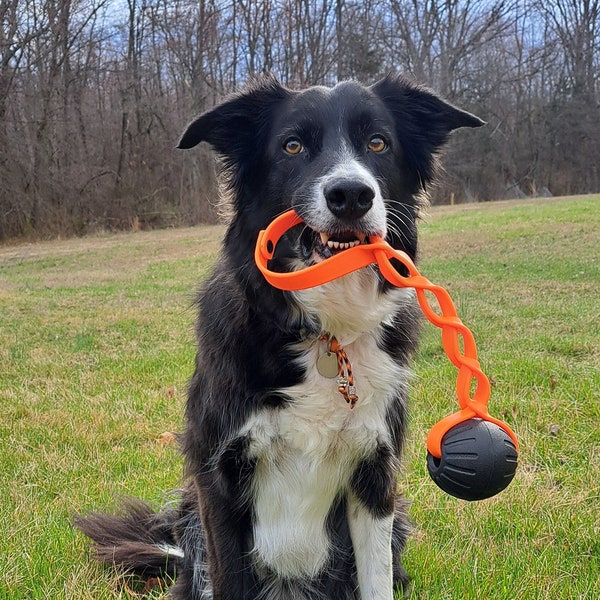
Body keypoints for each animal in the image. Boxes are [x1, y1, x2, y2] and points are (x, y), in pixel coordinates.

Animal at [76, 72, 482, 596]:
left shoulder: (375, 479)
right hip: (192, 524)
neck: (325, 332)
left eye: (378, 143)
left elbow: (376, 582)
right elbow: (231, 581)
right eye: (292, 145)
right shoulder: (218, 480)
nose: (352, 195)